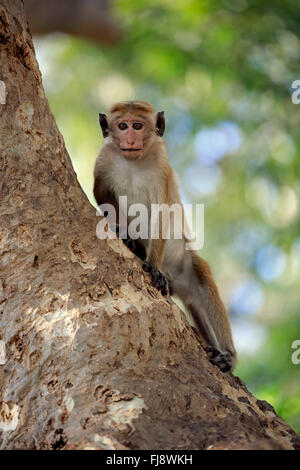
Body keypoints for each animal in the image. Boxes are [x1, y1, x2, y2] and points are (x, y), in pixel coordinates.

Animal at [94, 101, 237, 372]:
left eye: (137, 125)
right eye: (122, 125)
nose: (130, 138)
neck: (133, 161)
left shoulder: (161, 164)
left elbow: (161, 212)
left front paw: (153, 266)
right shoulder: (104, 159)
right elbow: (101, 193)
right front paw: (122, 231)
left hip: (186, 266)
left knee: (203, 279)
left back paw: (229, 356)